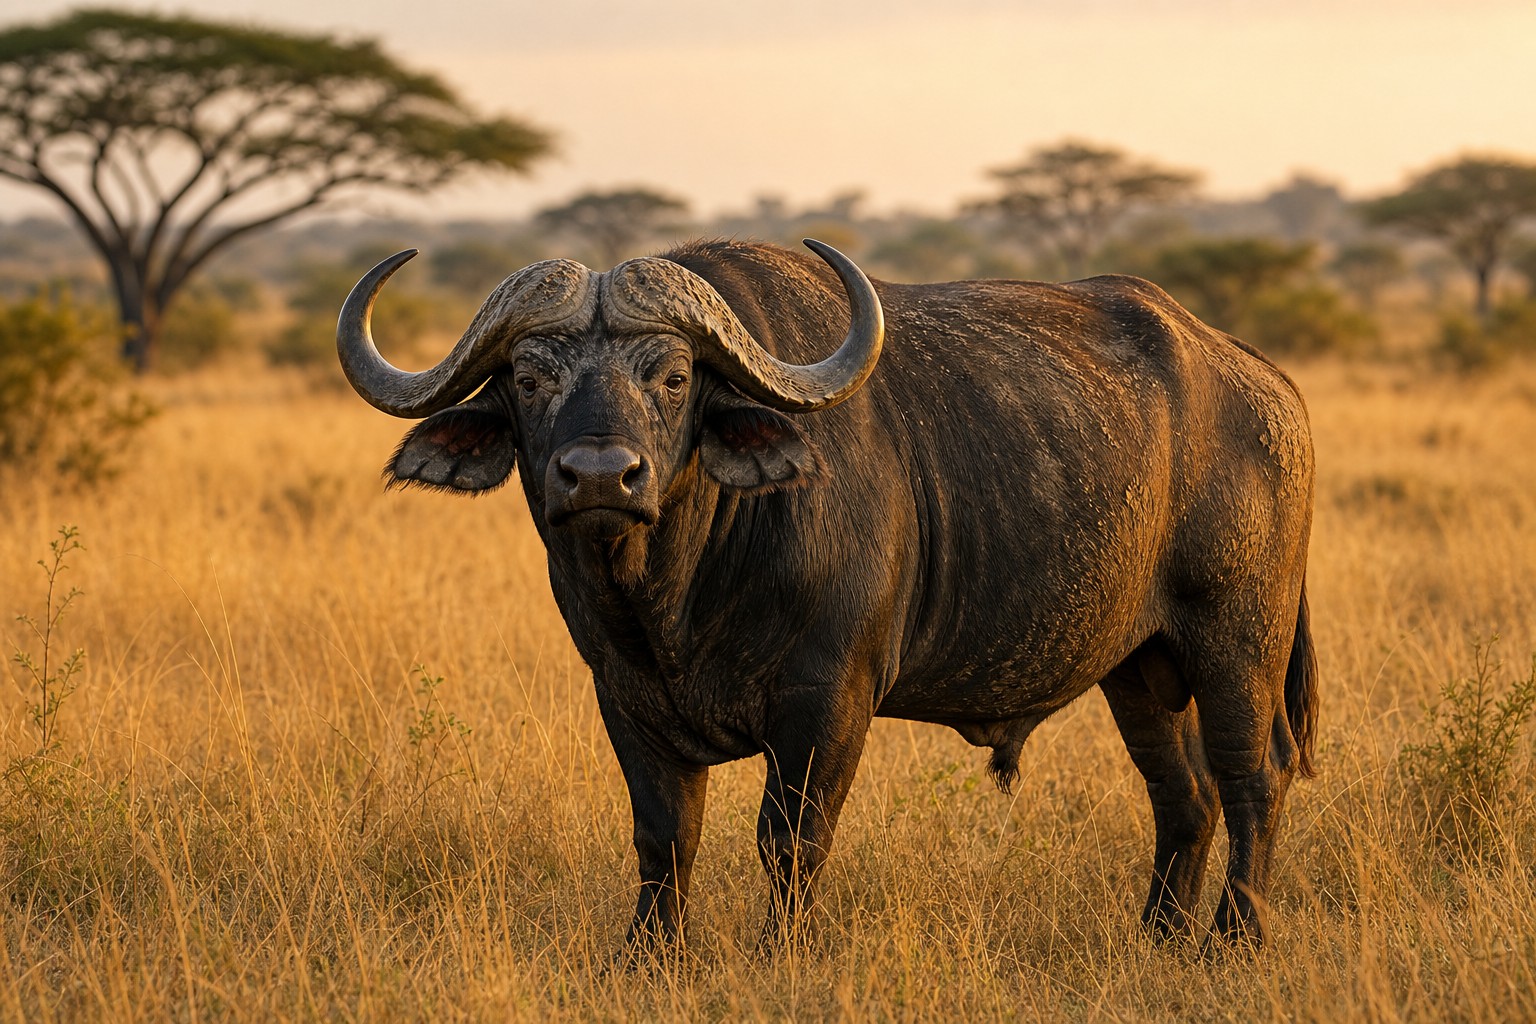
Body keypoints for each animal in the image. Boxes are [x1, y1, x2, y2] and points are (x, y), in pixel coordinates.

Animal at [337, 238, 1316, 951]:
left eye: (673, 377)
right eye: (529, 377)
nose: (601, 476)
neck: (675, 592)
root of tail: (1260, 380)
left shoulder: (829, 700)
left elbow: (790, 838)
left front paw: (783, 952)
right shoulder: (624, 698)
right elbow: (664, 838)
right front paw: (651, 957)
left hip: (1239, 640)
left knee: (1252, 778)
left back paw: (1234, 942)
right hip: (1138, 668)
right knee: (1183, 795)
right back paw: (1158, 938)